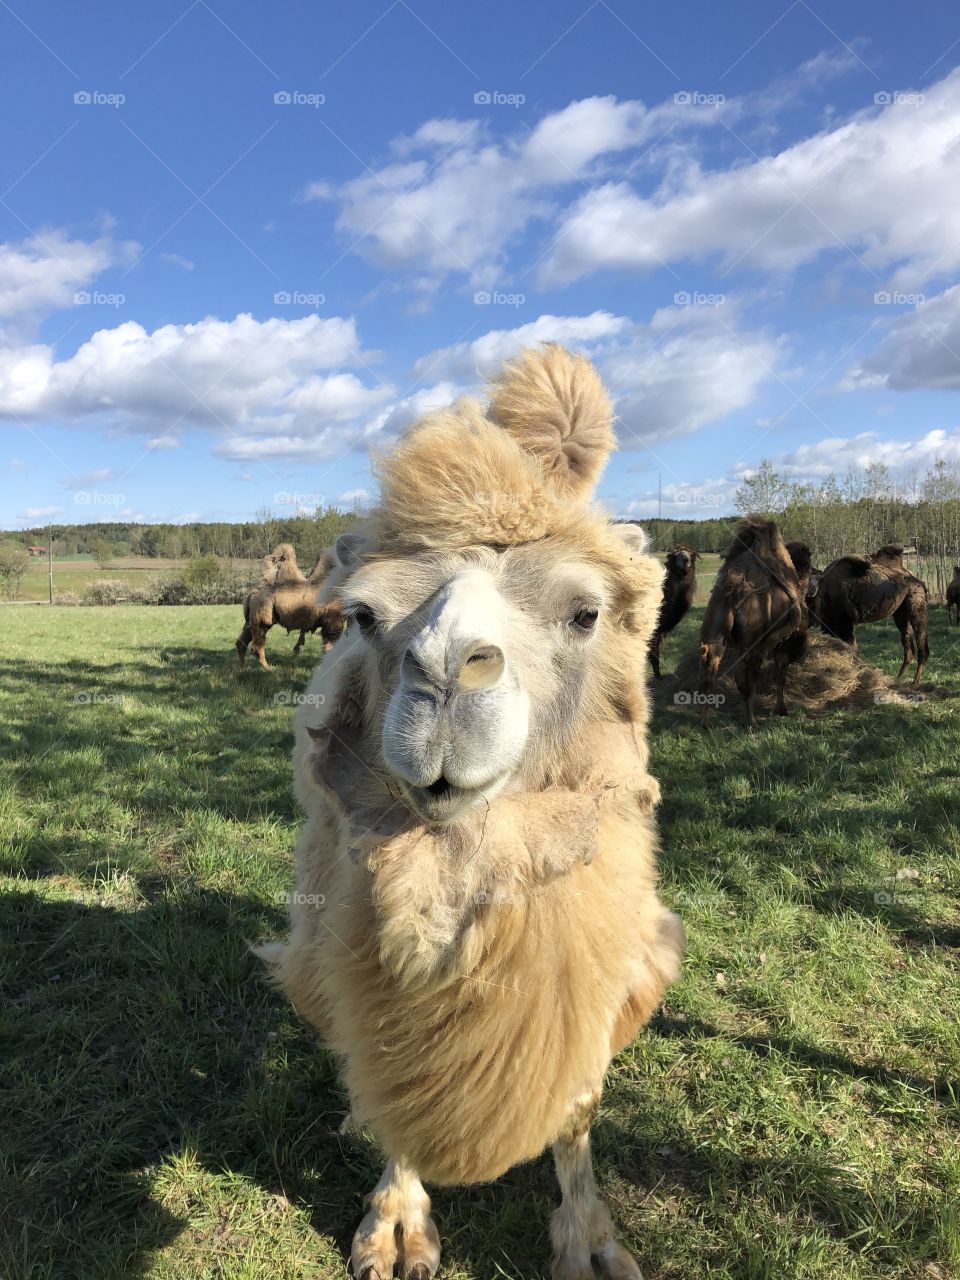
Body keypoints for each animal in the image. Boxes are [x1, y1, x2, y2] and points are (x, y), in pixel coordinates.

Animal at [258, 345, 684, 1280]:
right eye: (363, 614)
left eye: (586, 612)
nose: (449, 674)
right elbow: (391, 1066)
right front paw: (395, 1229)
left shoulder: (610, 959)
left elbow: (577, 1101)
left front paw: (590, 1243)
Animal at [699, 518, 808, 728]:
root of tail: (733, 591)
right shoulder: (781, 645)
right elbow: (780, 676)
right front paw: (781, 709)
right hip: (751, 642)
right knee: (746, 677)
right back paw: (752, 722)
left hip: (715, 633)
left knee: (710, 669)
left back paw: (706, 722)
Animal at [814, 543, 929, 685]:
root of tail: (916, 579)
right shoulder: (828, 624)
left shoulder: (847, 620)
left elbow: (851, 648)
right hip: (901, 612)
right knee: (908, 646)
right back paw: (897, 680)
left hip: (916, 604)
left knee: (922, 645)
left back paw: (915, 683)